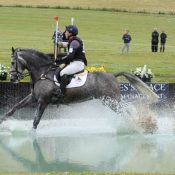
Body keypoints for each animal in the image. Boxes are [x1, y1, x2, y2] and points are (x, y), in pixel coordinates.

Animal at [0, 47, 159, 129]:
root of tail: (112, 75)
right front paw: (2, 122)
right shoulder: (33, 98)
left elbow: (35, 120)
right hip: (108, 101)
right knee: (126, 110)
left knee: (126, 110)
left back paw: (142, 124)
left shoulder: (43, 101)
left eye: (13, 62)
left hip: (112, 101)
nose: (13, 79)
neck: (42, 72)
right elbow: (13, 109)